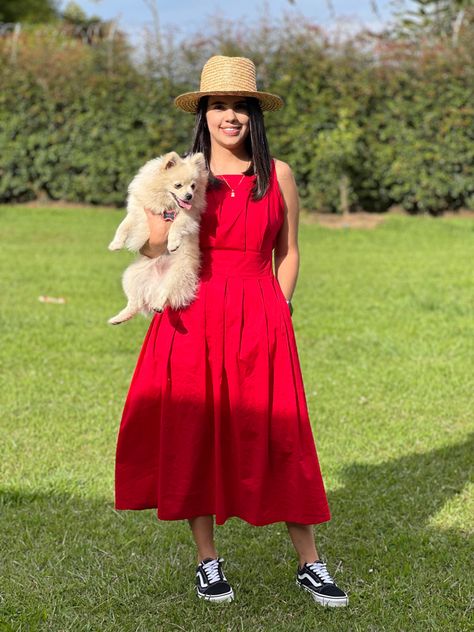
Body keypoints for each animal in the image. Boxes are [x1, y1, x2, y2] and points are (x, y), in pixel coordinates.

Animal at [109, 151, 209, 324]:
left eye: (193, 186)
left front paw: (173, 244)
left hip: (177, 275)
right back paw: (119, 318)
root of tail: (154, 285)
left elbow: (177, 226)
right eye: (178, 185)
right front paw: (116, 244)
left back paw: (157, 305)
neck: (166, 204)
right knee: (135, 302)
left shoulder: (189, 216)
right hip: (131, 276)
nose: (189, 196)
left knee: (164, 293)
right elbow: (123, 226)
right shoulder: (138, 211)